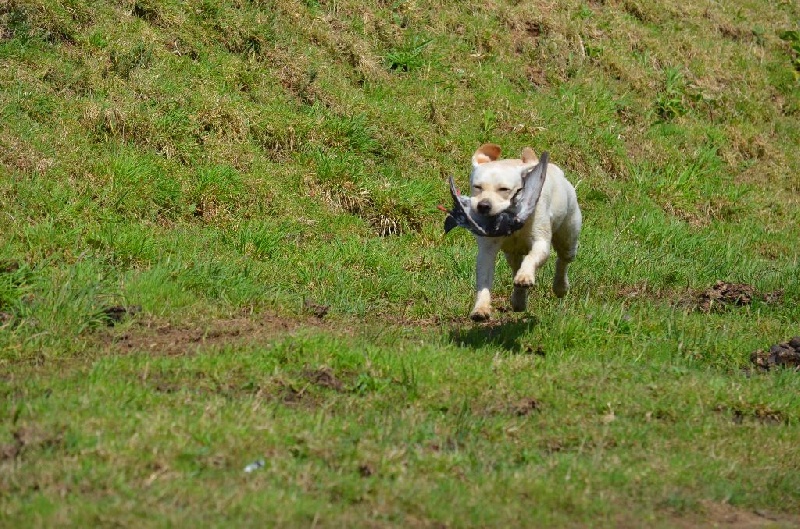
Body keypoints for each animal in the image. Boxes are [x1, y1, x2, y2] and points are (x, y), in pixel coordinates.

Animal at [468, 142, 580, 320]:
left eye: (504, 189)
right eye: (477, 187)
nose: (483, 205)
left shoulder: (541, 241)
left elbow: (533, 256)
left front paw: (526, 275)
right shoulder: (486, 251)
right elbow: (484, 278)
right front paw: (481, 308)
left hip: (569, 235)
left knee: (563, 260)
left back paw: (560, 287)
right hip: (512, 253)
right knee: (516, 266)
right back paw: (519, 300)